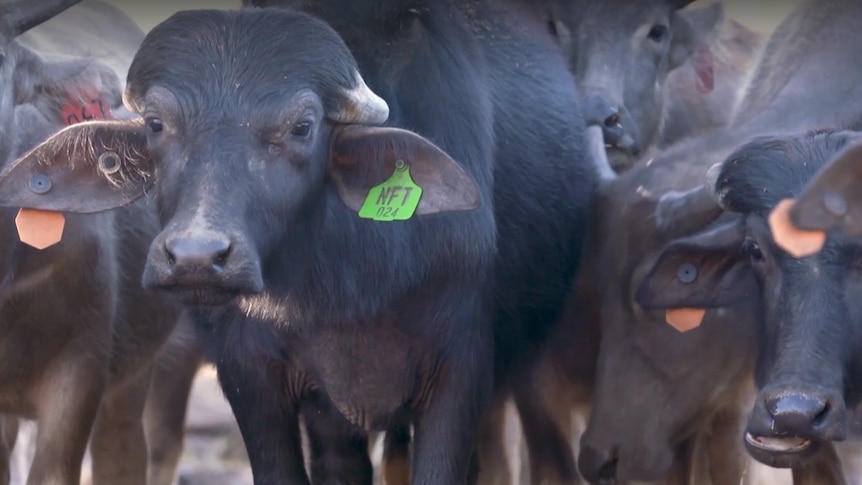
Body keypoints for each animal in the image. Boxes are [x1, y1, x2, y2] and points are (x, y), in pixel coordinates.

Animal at [0, 1, 596, 482]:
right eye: (154, 124)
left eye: (302, 127)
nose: (196, 258)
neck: (348, 287)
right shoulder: (255, 378)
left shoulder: (462, 371)